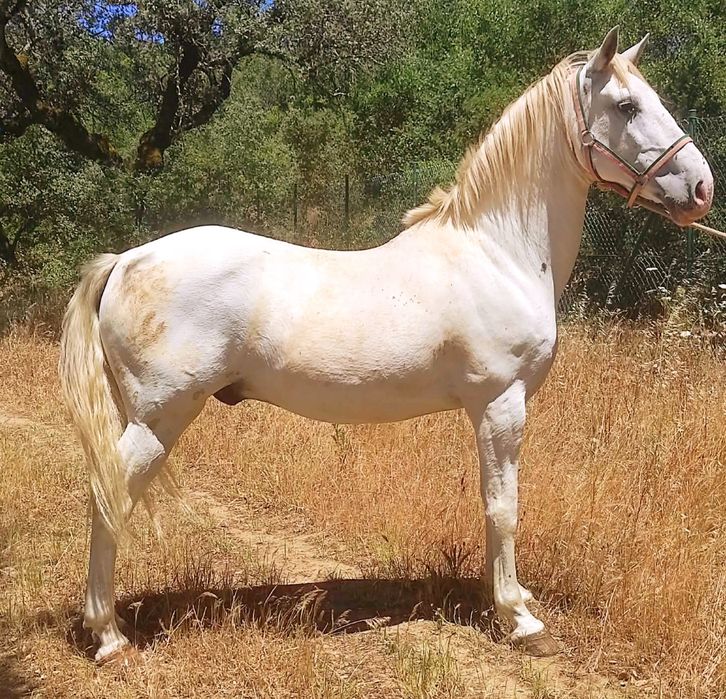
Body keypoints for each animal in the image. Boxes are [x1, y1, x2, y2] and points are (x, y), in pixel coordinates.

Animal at [59, 27, 713, 664]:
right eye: (626, 106)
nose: (702, 187)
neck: (496, 251)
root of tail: (125, 260)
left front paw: (513, 601)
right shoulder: (501, 404)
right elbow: (502, 507)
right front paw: (520, 620)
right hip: (160, 416)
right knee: (107, 493)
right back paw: (109, 636)